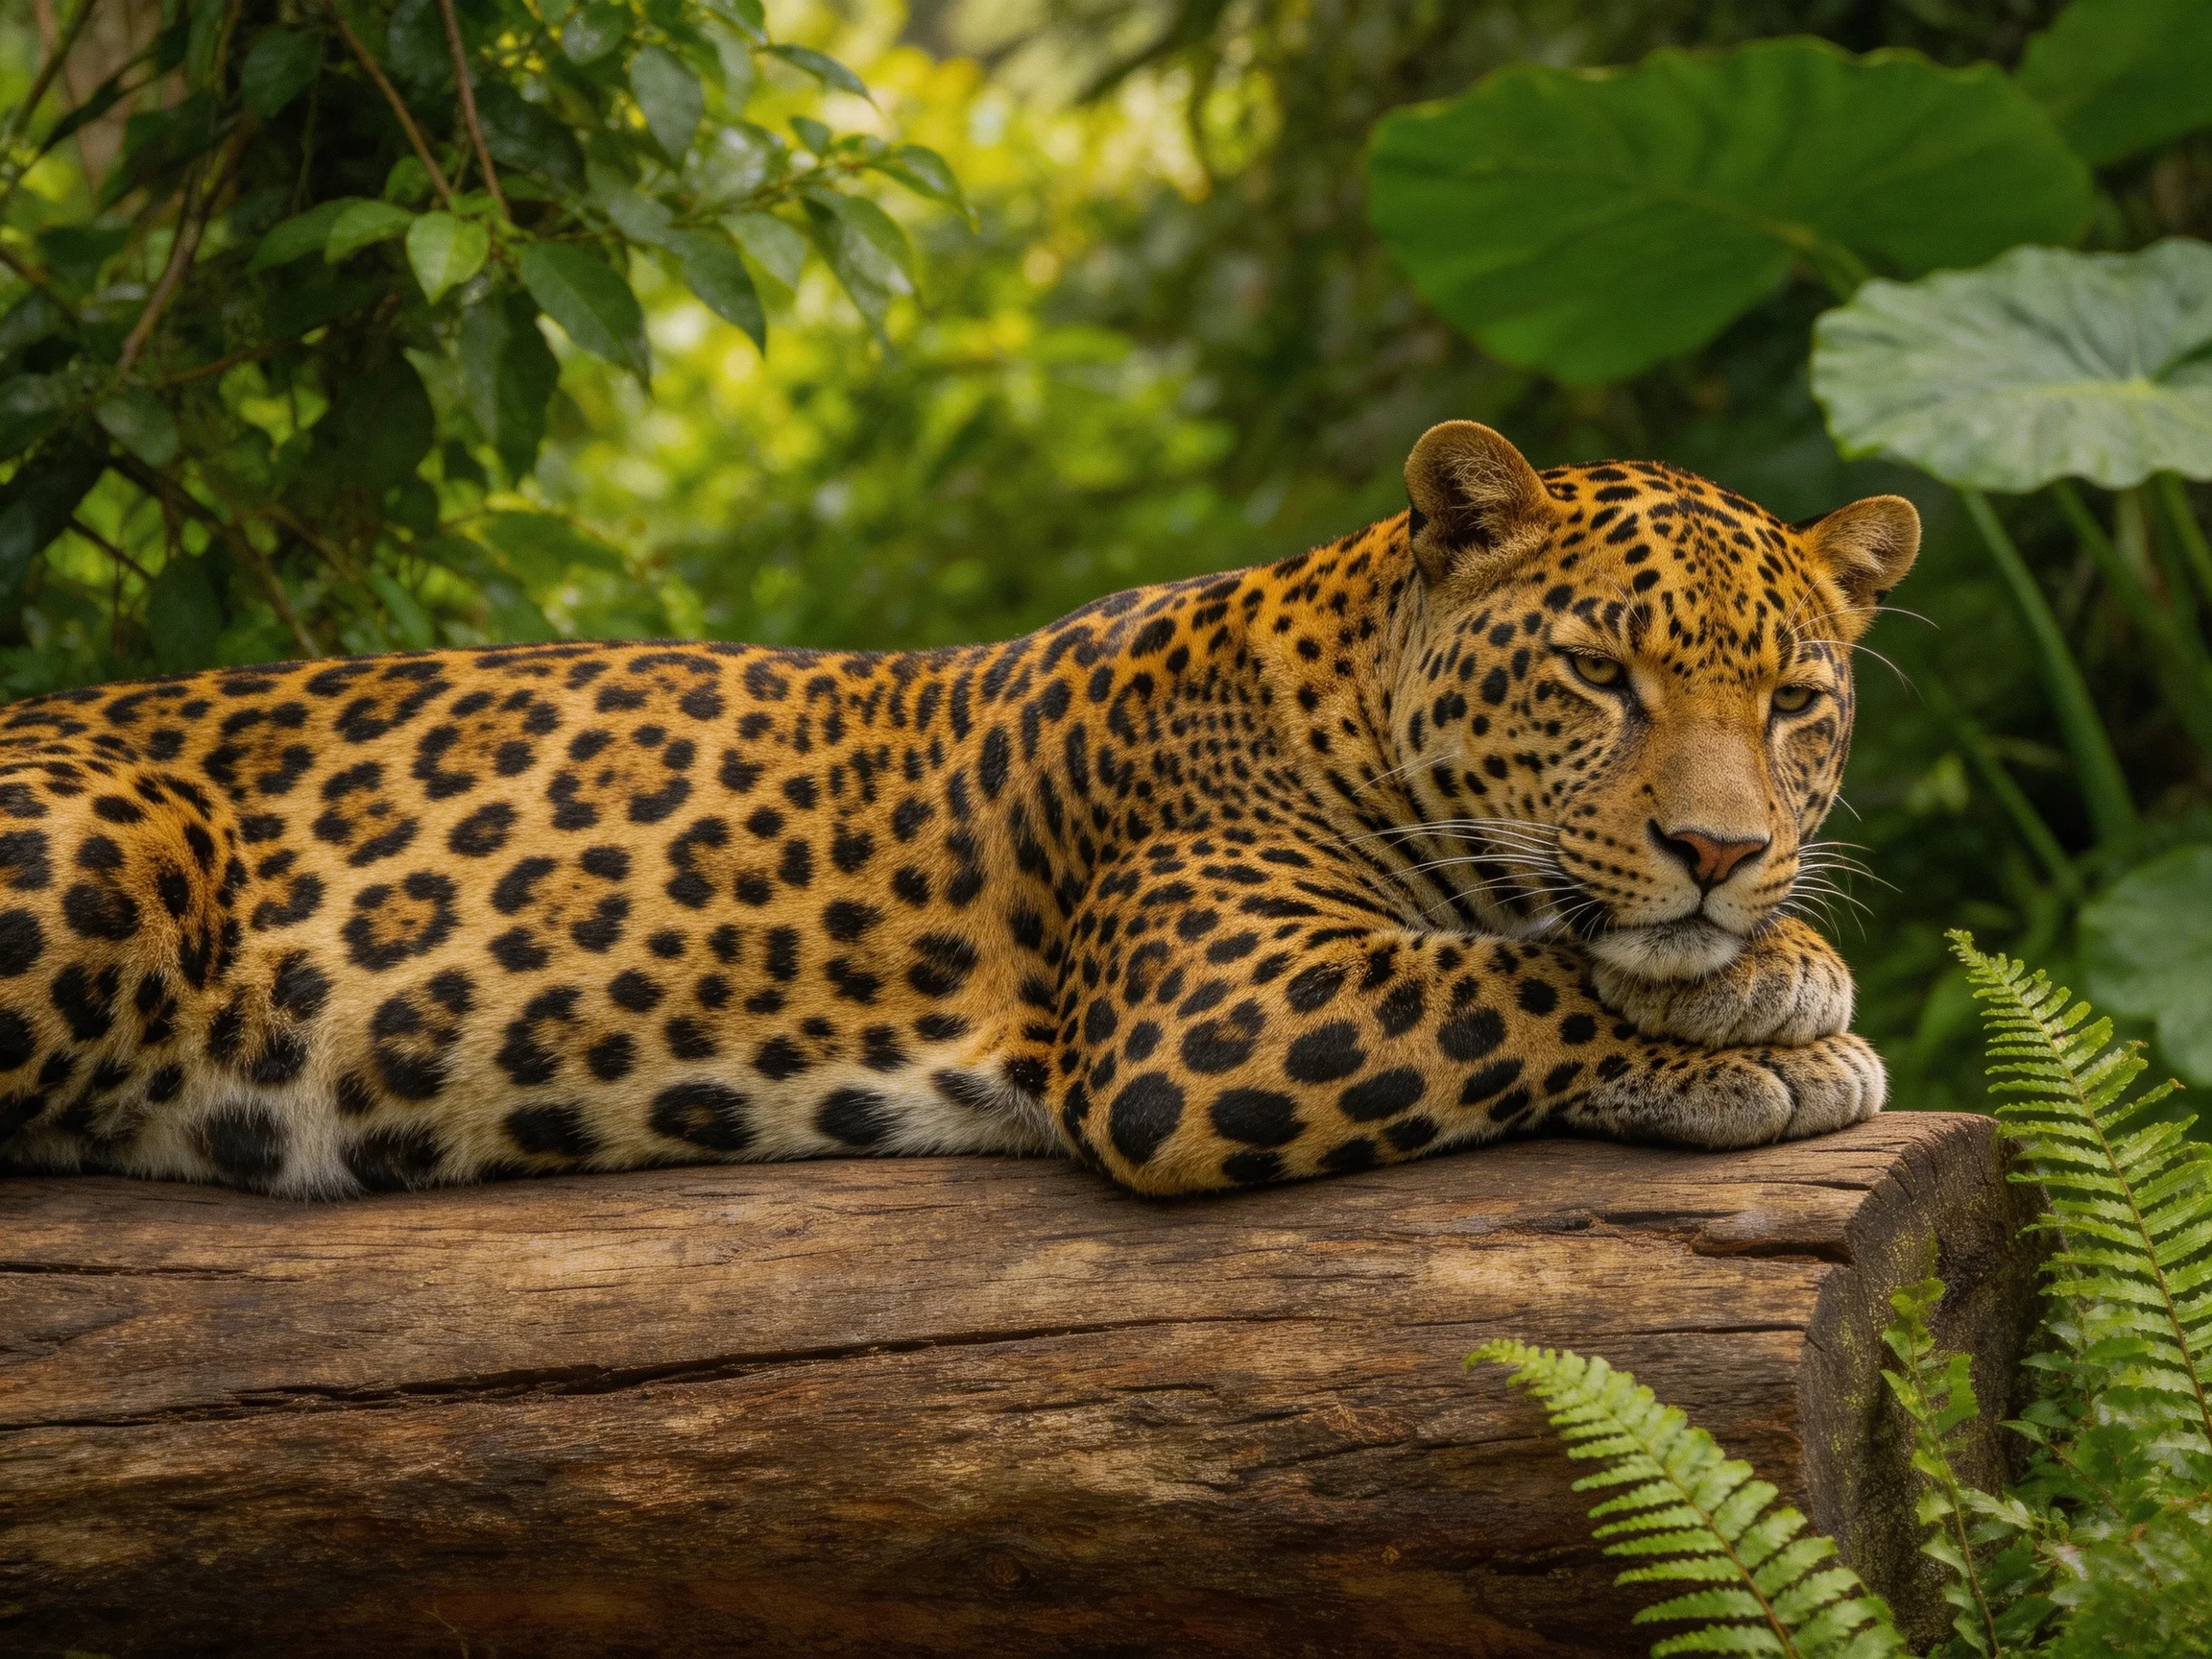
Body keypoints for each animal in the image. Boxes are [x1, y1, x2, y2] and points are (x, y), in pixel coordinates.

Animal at [0, 422, 1918, 1198]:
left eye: (1792, 701)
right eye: (1597, 673)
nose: (1720, 852)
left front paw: (1763, 971)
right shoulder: (1199, 1013)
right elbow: (1503, 973)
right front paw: (1773, 1015)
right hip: (112, 836)